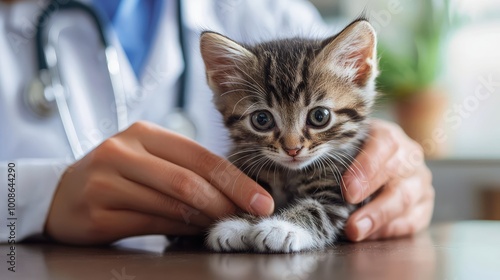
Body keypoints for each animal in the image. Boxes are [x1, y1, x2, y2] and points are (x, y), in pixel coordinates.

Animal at [199, 18, 378, 253]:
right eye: (262, 119)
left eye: (319, 116)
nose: (292, 149)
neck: (289, 174)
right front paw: (237, 224)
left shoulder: (340, 186)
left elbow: (318, 210)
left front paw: (281, 228)